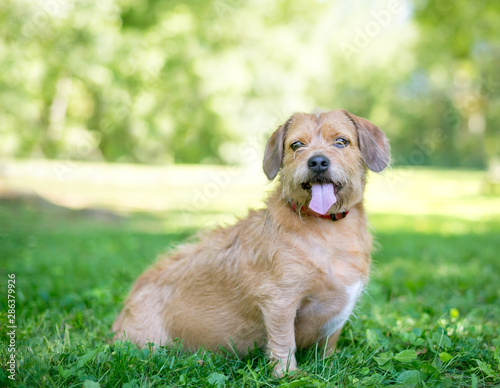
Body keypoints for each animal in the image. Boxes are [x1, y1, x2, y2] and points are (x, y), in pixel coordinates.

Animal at [113, 109, 390, 376]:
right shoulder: (279, 302)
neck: (327, 226)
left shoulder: (334, 318)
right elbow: (283, 342)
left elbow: (328, 346)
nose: (318, 161)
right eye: (296, 145)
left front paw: (329, 365)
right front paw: (287, 375)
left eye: (341, 141)